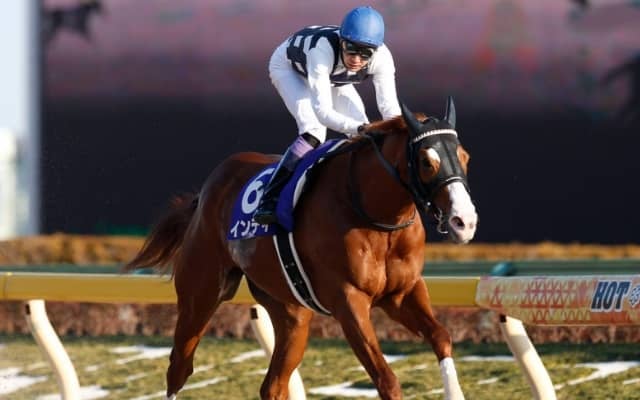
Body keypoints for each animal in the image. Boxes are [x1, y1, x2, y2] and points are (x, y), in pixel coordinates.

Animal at [123, 97, 478, 400]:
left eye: (464, 157)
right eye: (427, 162)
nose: (465, 221)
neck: (373, 214)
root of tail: (206, 191)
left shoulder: (402, 293)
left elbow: (441, 337)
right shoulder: (348, 301)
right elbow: (386, 379)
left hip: (291, 314)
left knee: (273, 385)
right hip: (201, 295)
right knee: (179, 368)